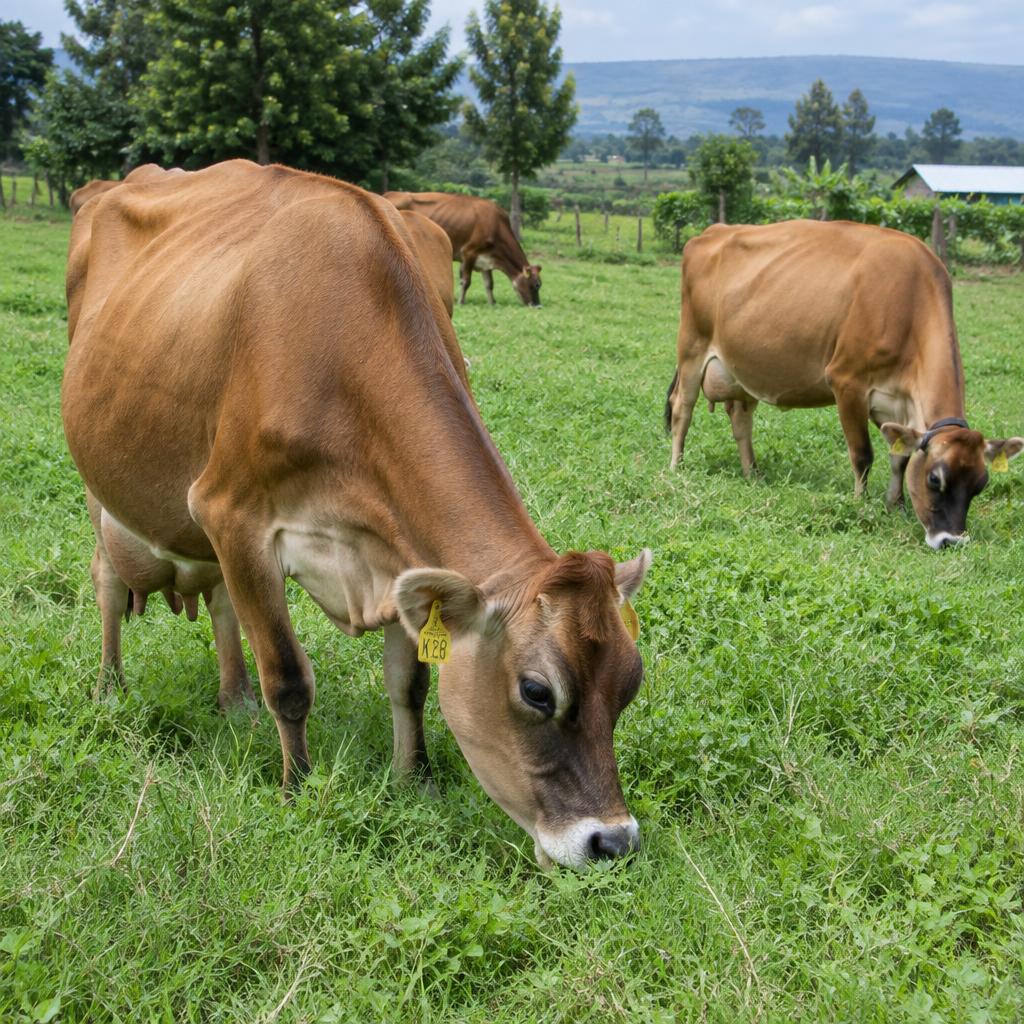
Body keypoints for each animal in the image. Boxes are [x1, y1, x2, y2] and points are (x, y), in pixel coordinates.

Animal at [385, 191, 542, 307]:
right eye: (536, 285)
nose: (537, 305)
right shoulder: (469, 252)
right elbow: (466, 281)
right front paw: (461, 301)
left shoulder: (486, 259)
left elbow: (489, 284)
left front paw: (492, 302)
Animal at [665, 220, 1022, 549]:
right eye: (935, 479)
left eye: (981, 484)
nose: (952, 540)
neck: (909, 305)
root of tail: (713, 230)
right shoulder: (847, 383)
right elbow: (862, 454)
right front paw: (860, 502)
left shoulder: (899, 404)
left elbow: (900, 458)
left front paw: (896, 505)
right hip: (692, 348)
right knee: (683, 409)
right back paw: (676, 466)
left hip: (741, 367)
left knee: (741, 419)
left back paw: (752, 472)